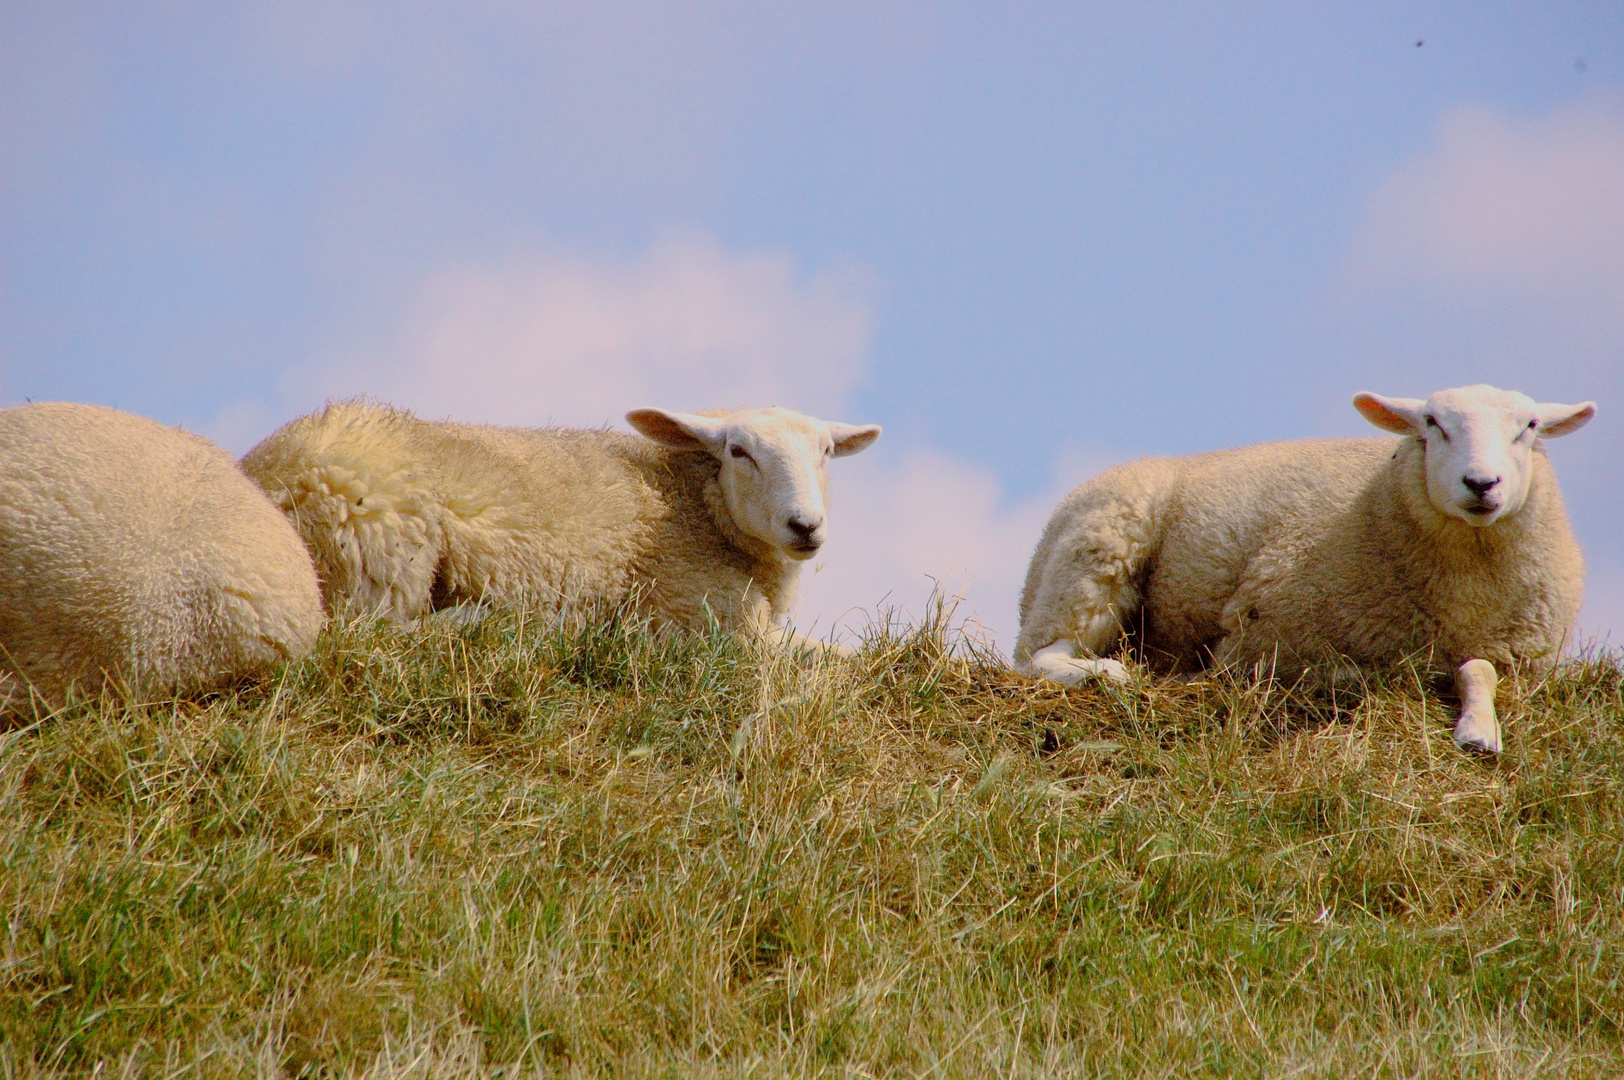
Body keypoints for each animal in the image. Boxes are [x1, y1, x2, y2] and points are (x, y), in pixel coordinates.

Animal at [240, 399, 883, 643]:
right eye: (738, 451)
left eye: (827, 451)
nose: (805, 525)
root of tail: (271, 472)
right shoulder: (706, 617)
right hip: (382, 558)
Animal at [1019, 384, 1591, 750]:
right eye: (1433, 424)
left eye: (1529, 427)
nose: (1481, 483)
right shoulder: (1266, 636)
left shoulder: (1520, 658)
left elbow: (1480, 670)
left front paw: (1479, 730)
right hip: (1097, 553)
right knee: (1040, 657)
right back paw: (1108, 673)